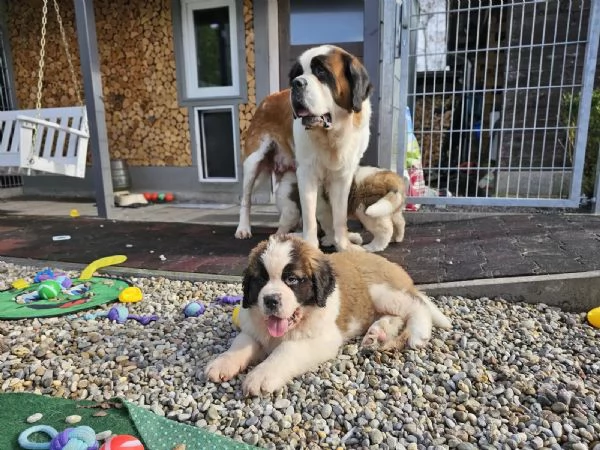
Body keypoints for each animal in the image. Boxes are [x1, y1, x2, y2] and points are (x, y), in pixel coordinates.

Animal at [203, 234, 450, 396]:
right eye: (260, 281)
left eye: (292, 279)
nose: (270, 300)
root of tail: (389, 263)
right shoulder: (253, 329)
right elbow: (240, 344)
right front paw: (222, 363)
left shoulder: (322, 339)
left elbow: (287, 350)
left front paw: (261, 374)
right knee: (395, 316)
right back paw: (376, 334)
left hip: (381, 291)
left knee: (417, 305)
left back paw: (418, 334)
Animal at [276, 166, 408, 253]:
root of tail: (393, 179)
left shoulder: (321, 212)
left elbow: (329, 228)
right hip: (392, 208)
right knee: (400, 222)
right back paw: (397, 238)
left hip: (367, 211)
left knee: (385, 230)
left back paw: (373, 247)